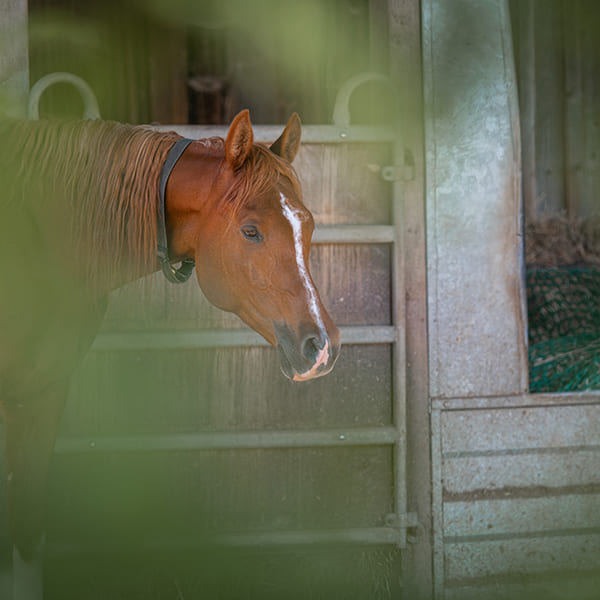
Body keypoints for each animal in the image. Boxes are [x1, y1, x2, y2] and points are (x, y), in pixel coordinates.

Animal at [0, 110, 340, 596]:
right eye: (250, 231)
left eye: (308, 226)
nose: (321, 347)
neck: (35, 243)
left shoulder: (40, 393)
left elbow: (25, 533)